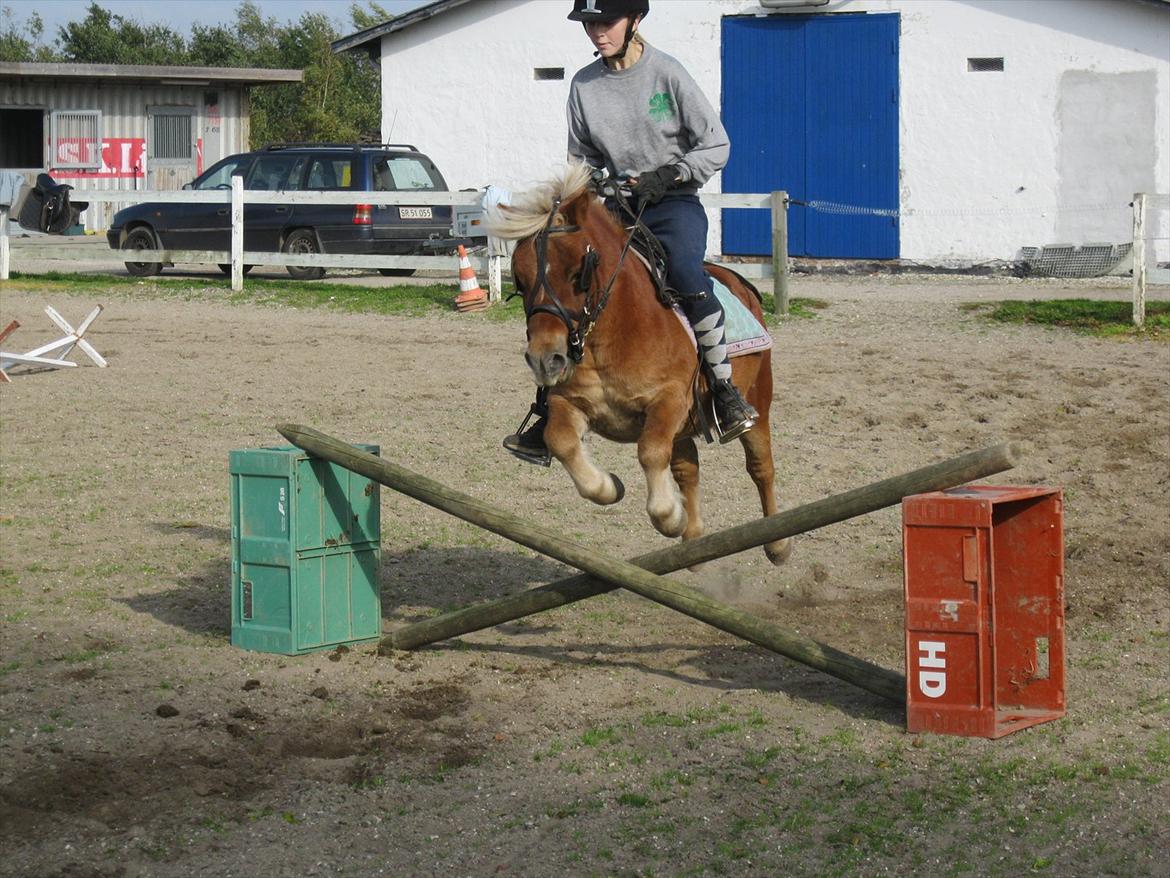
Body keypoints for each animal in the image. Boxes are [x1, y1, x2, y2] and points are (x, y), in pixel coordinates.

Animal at [489, 162, 790, 566]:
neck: (610, 335)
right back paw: (693, 539)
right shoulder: (567, 402)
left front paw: (669, 515)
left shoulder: (669, 401)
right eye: (520, 279)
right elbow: (560, 441)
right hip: (685, 428)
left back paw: (777, 543)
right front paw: (609, 486)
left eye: (579, 272)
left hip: (757, 401)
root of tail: (741, 284)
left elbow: (648, 453)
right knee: (686, 469)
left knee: (760, 467)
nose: (545, 359)